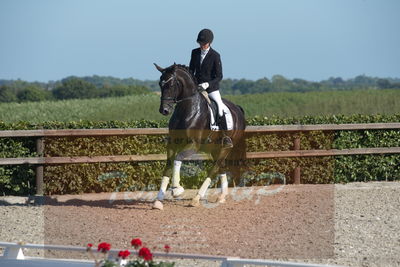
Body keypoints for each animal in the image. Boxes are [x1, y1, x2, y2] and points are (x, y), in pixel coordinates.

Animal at [153, 63, 245, 210]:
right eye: (160, 84)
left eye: (171, 84)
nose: (164, 110)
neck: (187, 109)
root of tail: (237, 108)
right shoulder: (172, 143)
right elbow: (168, 165)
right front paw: (158, 200)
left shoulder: (193, 145)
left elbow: (177, 159)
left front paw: (177, 189)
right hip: (215, 149)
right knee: (221, 167)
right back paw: (222, 196)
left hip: (226, 147)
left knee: (214, 168)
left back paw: (196, 198)